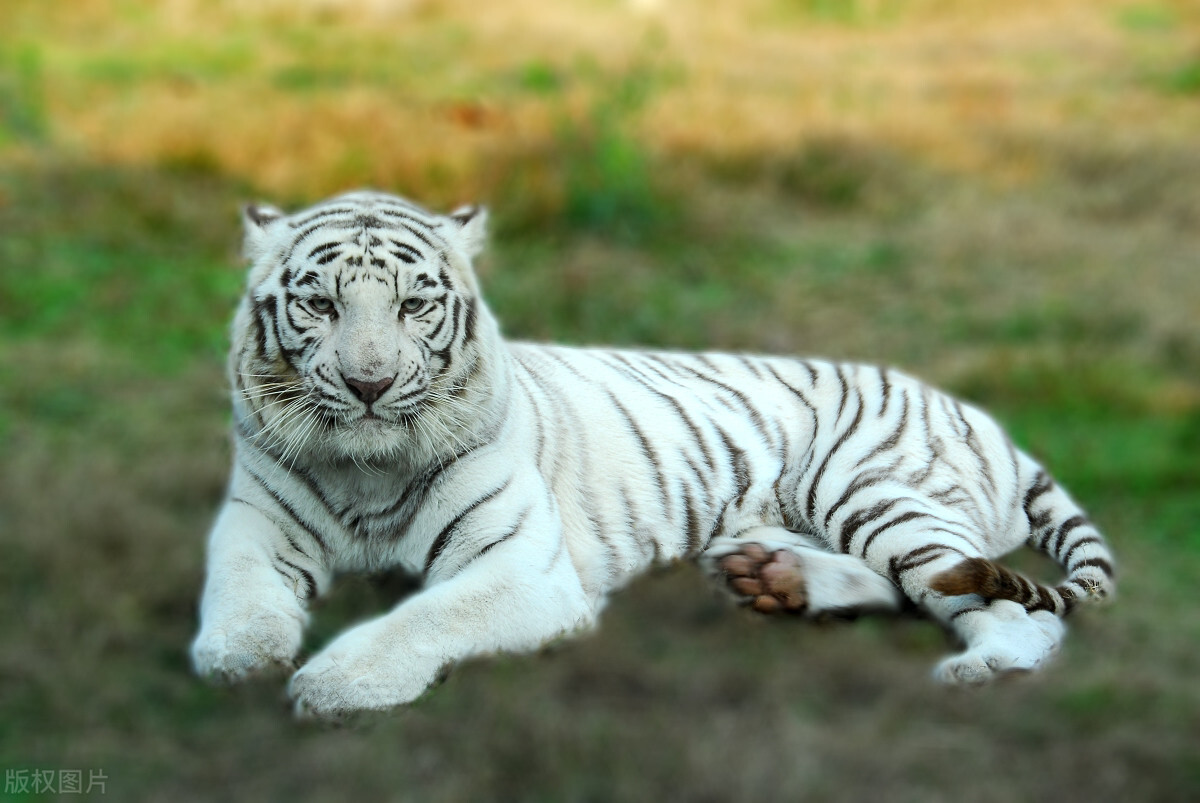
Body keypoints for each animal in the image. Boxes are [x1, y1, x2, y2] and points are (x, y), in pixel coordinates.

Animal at [187, 190, 1113, 715]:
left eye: (415, 305)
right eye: (319, 303)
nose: (369, 383)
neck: (367, 466)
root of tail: (988, 419)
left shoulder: (523, 569)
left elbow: (425, 615)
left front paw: (333, 683)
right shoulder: (254, 520)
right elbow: (238, 587)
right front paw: (237, 653)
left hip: (868, 487)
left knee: (1008, 608)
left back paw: (984, 667)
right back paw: (773, 580)